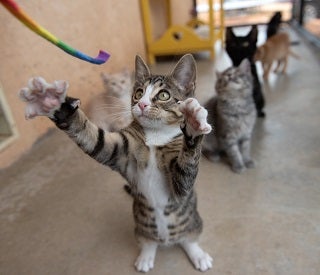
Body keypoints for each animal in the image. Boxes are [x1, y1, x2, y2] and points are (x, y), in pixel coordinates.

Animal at [20, 54, 214, 274]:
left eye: (164, 95)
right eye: (138, 93)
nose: (142, 105)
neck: (155, 135)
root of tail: (165, 241)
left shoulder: (180, 188)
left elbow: (184, 177)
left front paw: (193, 124)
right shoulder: (120, 149)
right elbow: (95, 139)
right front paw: (53, 103)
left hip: (194, 222)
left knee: (189, 239)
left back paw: (198, 254)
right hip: (140, 227)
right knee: (149, 242)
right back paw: (146, 255)